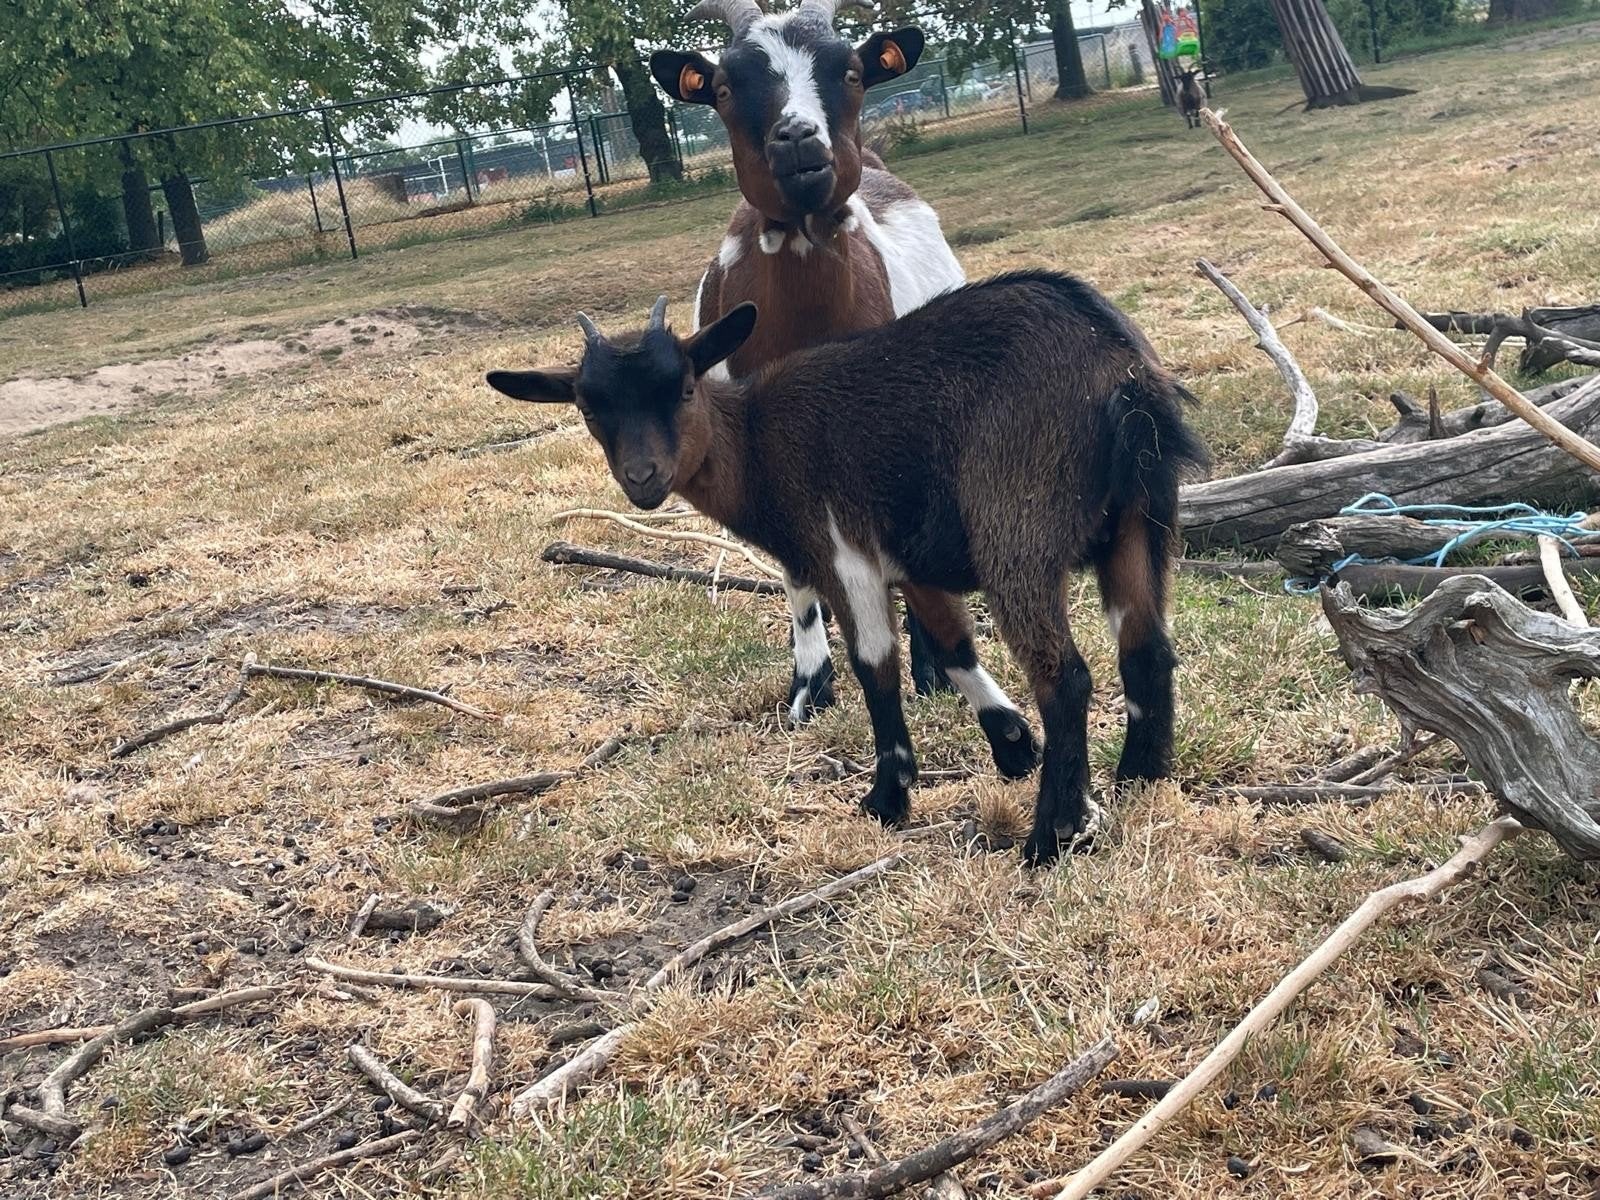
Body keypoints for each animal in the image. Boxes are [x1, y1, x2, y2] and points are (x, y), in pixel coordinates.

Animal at [485, 273, 1209, 865]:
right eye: (588, 407)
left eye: (685, 387)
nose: (642, 479)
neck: (758, 445)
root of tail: (1125, 375)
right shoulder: (911, 565)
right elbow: (952, 648)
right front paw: (1011, 745)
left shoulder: (844, 549)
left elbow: (875, 667)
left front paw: (888, 797)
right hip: (1141, 520)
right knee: (1145, 646)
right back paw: (1137, 779)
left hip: (1015, 526)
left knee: (1066, 675)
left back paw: (1049, 835)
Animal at [650, 0, 1004, 725]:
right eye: (723, 87)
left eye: (851, 72)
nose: (798, 139)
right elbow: (795, 566)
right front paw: (810, 685)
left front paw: (929, 670)